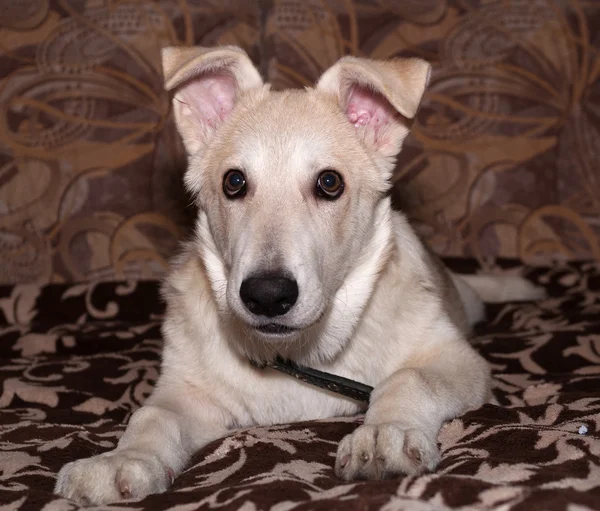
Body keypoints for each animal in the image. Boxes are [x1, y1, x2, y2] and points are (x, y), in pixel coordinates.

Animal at [55, 45, 544, 504]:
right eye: (234, 182)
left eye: (330, 183)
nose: (267, 295)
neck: (300, 352)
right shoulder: (186, 388)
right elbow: (151, 416)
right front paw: (122, 459)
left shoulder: (456, 358)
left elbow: (408, 378)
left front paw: (382, 435)